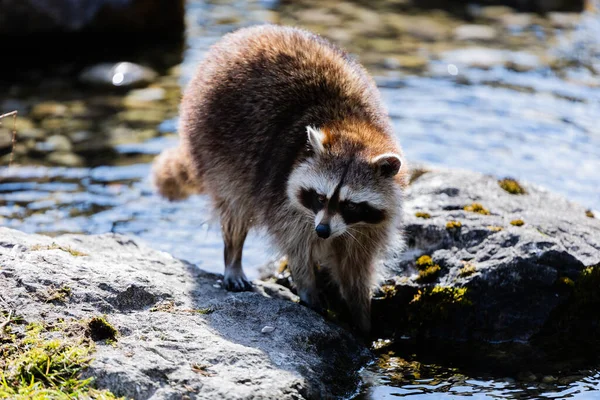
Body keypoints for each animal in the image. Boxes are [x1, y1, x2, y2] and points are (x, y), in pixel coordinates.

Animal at [152, 23, 410, 332]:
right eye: (320, 196)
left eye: (350, 204)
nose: (322, 231)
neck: (352, 127)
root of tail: (248, 33)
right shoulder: (282, 192)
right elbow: (296, 245)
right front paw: (310, 291)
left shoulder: (369, 226)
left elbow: (357, 266)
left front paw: (361, 315)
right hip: (213, 135)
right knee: (235, 205)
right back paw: (233, 257)